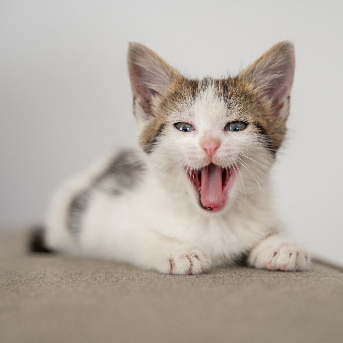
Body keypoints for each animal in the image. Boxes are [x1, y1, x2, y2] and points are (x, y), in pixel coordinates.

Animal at [31, 41, 312, 276]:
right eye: (184, 127)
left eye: (236, 127)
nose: (210, 145)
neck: (212, 223)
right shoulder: (102, 218)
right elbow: (132, 234)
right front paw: (177, 251)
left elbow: (275, 227)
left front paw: (280, 244)